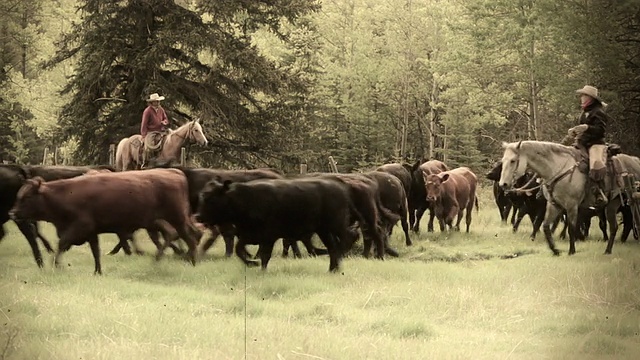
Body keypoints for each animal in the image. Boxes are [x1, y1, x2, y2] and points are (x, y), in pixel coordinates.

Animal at [8, 167, 199, 274]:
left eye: (26, 197)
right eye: (18, 196)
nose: (12, 213)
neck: (63, 195)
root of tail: (174, 172)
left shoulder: (79, 227)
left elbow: (62, 244)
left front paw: (57, 265)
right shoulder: (91, 232)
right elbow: (96, 252)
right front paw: (97, 272)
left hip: (176, 219)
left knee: (189, 238)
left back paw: (191, 261)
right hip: (160, 222)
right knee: (178, 236)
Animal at [500, 141, 640, 256]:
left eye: (513, 161)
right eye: (503, 160)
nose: (503, 184)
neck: (557, 168)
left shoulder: (572, 206)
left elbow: (572, 227)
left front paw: (571, 251)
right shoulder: (554, 205)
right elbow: (546, 227)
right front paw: (555, 250)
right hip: (611, 205)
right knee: (614, 227)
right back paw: (608, 250)